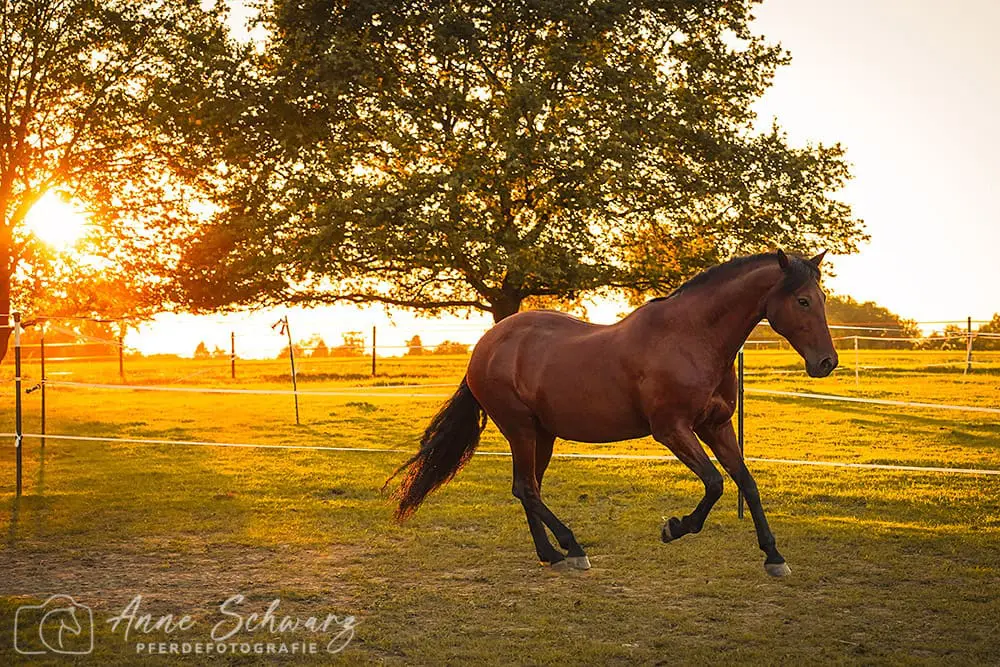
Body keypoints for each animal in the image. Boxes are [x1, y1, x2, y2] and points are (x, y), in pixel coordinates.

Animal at [388, 250, 836, 576]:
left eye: (823, 299)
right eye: (802, 300)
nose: (826, 362)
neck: (691, 337)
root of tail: (485, 344)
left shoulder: (717, 426)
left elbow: (746, 483)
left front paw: (774, 557)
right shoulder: (672, 430)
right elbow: (714, 483)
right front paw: (674, 527)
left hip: (542, 434)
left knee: (526, 488)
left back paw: (551, 554)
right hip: (521, 429)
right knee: (528, 489)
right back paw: (572, 548)